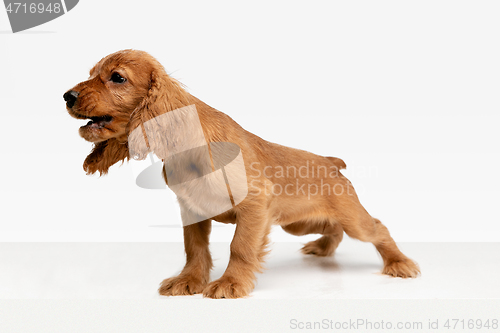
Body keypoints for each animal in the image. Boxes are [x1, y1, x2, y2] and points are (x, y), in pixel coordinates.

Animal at [64, 49, 420, 298]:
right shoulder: (191, 209)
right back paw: (322, 248)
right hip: (299, 223)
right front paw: (189, 280)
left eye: (117, 78)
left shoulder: (254, 206)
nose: (67, 96)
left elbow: (241, 247)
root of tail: (329, 161)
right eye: (91, 73)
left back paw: (399, 263)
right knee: (333, 229)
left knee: (377, 227)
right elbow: (194, 248)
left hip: (349, 217)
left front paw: (231, 283)